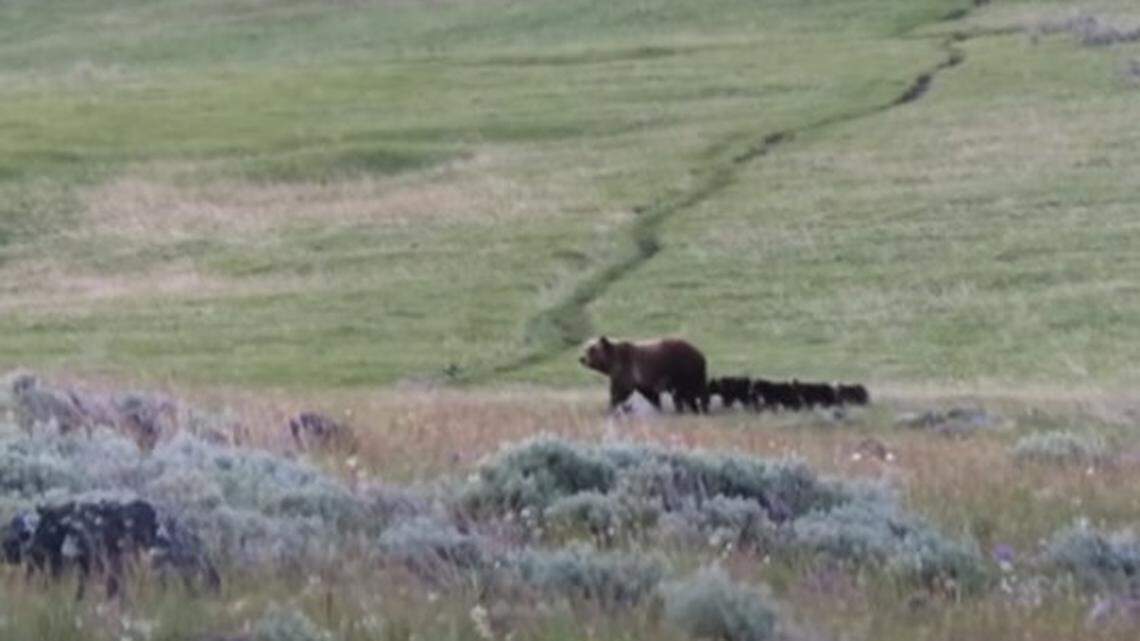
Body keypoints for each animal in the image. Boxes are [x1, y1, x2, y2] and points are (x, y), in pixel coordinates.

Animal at [580, 336, 709, 414]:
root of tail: (700, 353)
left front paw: (610, 407)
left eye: (591, 350)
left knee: (692, 391)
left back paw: (699, 408)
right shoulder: (642, 380)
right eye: (585, 348)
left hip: (684, 370)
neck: (612, 362)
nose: (581, 359)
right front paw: (658, 407)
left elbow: (620, 391)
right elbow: (650, 395)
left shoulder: (627, 370)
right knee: (688, 393)